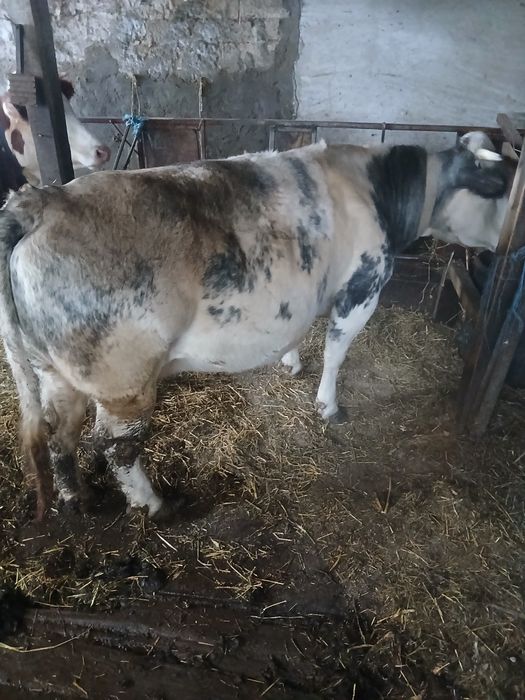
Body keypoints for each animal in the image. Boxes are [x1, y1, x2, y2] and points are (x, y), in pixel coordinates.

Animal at [0, 131, 512, 521]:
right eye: (501, 185)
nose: (508, 244)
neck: (375, 190)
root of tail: (43, 201)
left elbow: (298, 330)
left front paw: (290, 362)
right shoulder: (362, 287)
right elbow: (337, 350)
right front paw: (328, 405)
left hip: (54, 370)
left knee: (58, 435)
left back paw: (76, 499)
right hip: (123, 382)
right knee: (114, 446)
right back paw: (154, 504)